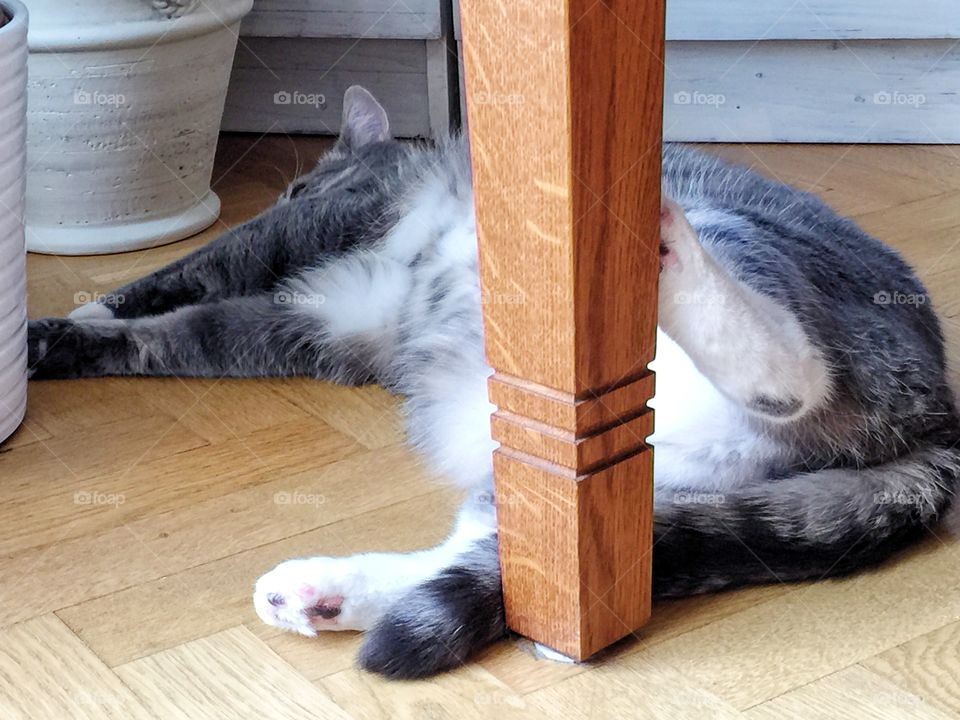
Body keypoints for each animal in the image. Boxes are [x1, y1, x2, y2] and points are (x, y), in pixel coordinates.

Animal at [30, 87, 960, 676]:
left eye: (301, 181)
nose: (291, 187)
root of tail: (939, 422)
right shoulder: (316, 328)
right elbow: (181, 336)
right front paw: (78, 340)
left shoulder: (315, 228)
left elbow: (186, 276)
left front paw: (64, 322)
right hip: (620, 480)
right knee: (503, 556)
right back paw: (326, 595)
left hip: (753, 247)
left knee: (791, 369)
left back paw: (671, 257)